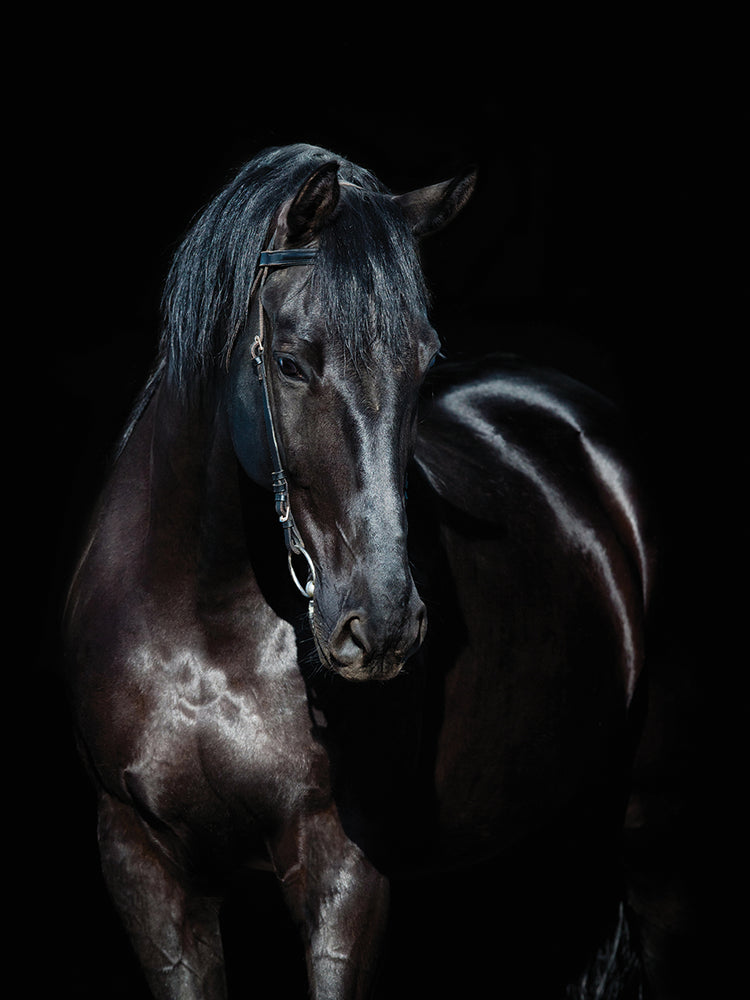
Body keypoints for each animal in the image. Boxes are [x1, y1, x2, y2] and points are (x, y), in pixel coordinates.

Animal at [63, 143, 658, 998]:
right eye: (288, 362)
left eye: (423, 362)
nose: (380, 626)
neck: (203, 626)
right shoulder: (144, 865)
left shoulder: (344, 868)